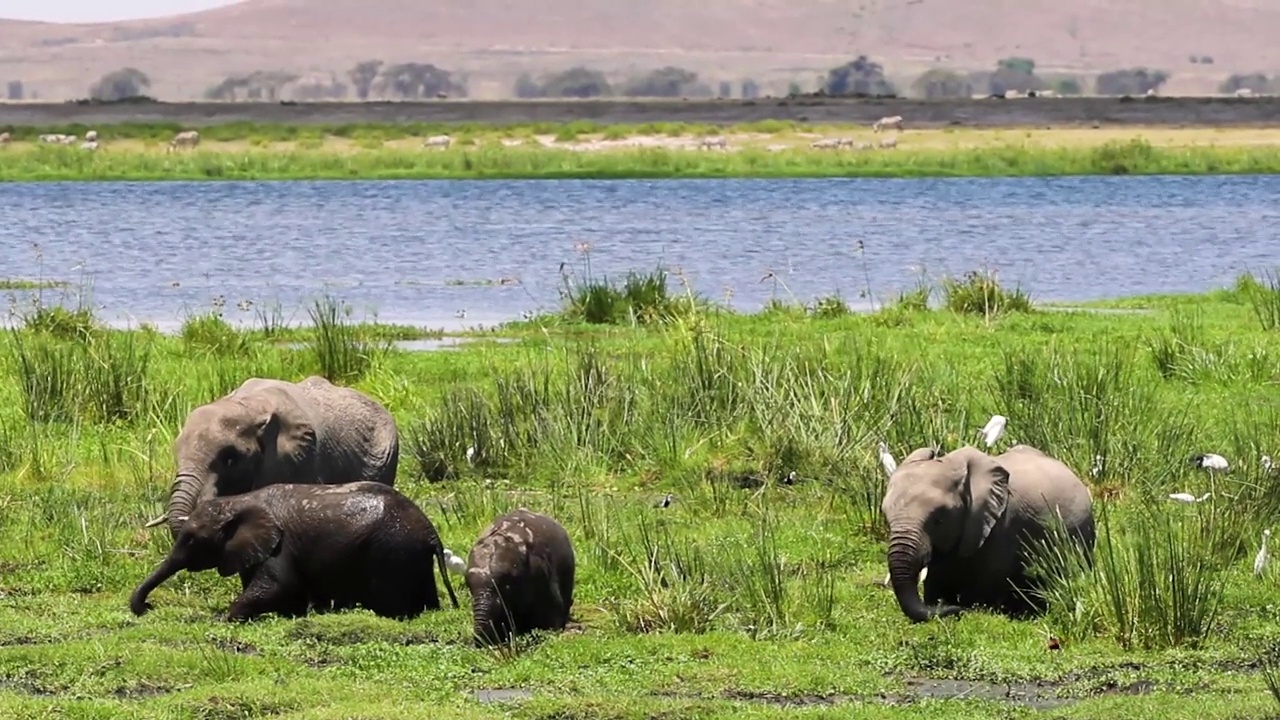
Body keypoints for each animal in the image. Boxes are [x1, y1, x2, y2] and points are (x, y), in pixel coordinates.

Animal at [128, 479, 460, 620]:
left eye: (191, 539)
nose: (148, 607)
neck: (238, 501)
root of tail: (431, 532)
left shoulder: (280, 546)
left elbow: (278, 585)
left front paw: (224, 618)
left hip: (391, 551)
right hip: (410, 556)